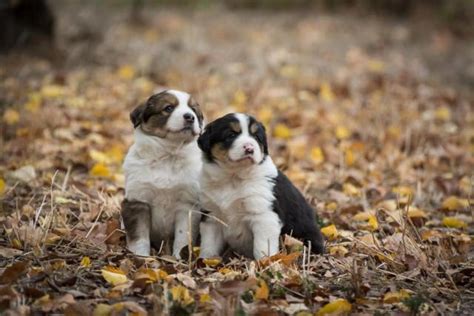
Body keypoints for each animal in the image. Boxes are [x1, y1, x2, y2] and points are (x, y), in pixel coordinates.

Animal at [121, 89, 203, 256]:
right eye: (168, 108)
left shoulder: (187, 205)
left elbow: (183, 237)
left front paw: (178, 258)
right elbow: (139, 238)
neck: (168, 156)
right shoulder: (138, 201)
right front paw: (141, 257)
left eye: (193, 110)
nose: (190, 117)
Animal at [197, 113, 326, 260]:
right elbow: (209, 244)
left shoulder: (264, 215)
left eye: (256, 137)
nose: (249, 148)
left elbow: (263, 247)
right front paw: (205, 260)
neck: (233, 177)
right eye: (231, 135)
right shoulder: (212, 216)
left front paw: (265, 262)